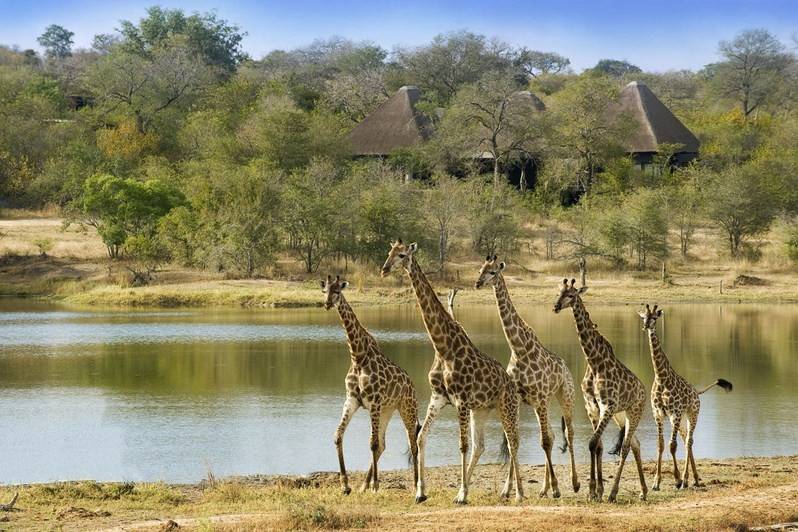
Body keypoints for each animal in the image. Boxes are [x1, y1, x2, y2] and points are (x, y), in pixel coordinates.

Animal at [322, 276, 422, 496]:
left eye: (337, 291)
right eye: (324, 290)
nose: (327, 304)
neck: (357, 356)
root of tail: (411, 384)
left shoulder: (374, 402)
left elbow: (372, 444)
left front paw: (376, 486)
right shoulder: (352, 400)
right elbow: (338, 435)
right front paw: (346, 485)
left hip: (406, 408)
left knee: (413, 443)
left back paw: (415, 485)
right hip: (387, 410)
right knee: (384, 444)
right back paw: (363, 485)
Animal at [382, 239, 524, 504]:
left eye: (402, 255)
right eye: (389, 252)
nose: (384, 269)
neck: (443, 347)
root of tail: (511, 384)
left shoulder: (461, 400)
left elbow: (462, 446)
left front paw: (462, 494)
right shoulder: (439, 397)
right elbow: (421, 437)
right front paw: (420, 492)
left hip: (506, 407)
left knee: (513, 442)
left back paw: (518, 493)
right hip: (482, 410)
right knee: (482, 446)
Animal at [476, 256, 580, 496]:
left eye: (493, 272)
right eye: (480, 269)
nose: (477, 283)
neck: (519, 348)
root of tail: (566, 367)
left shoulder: (539, 398)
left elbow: (543, 441)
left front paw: (557, 488)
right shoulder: (517, 398)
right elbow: (513, 440)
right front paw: (507, 489)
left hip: (564, 396)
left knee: (568, 433)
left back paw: (574, 483)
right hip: (540, 403)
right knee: (552, 435)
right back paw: (543, 489)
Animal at [556, 278, 648, 502]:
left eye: (571, 295)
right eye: (558, 292)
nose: (556, 307)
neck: (594, 362)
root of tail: (643, 390)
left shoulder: (607, 405)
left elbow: (592, 443)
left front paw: (594, 490)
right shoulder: (592, 406)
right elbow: (597, 445)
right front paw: (595, 491)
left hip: (634, 411)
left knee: (626, 447)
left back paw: (614, 493)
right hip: (621, 415)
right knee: (635, 444)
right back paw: (643, 491)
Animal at [640, 304, 736, 490]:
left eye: (655, 317)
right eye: (644, 317)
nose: (646, 326)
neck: (661, 378)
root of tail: (697, 392)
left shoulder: (675, 412)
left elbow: (672, 445)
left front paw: (677, 479)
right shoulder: (658, 414)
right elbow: (661, 445)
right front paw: (656, 482)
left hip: (692, 414)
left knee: (689, 441)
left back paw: (687, 480)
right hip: (681, 419)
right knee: (686, 441)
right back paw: (694, 478)